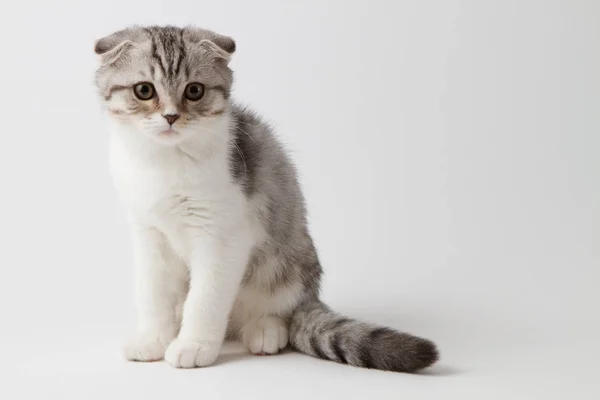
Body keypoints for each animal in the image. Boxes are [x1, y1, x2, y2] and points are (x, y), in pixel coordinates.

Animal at [96, 26, 438, 374]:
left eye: (194, 91)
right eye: (143, 90)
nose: (170, 117)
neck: (163, 162)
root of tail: (310, 296)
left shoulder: (223, 236)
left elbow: (205, 298)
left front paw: (193, 345)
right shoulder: (148, 234)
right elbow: (154, 294)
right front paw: (152, 339)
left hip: (286, 263)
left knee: (279, 310)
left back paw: (265, 330)